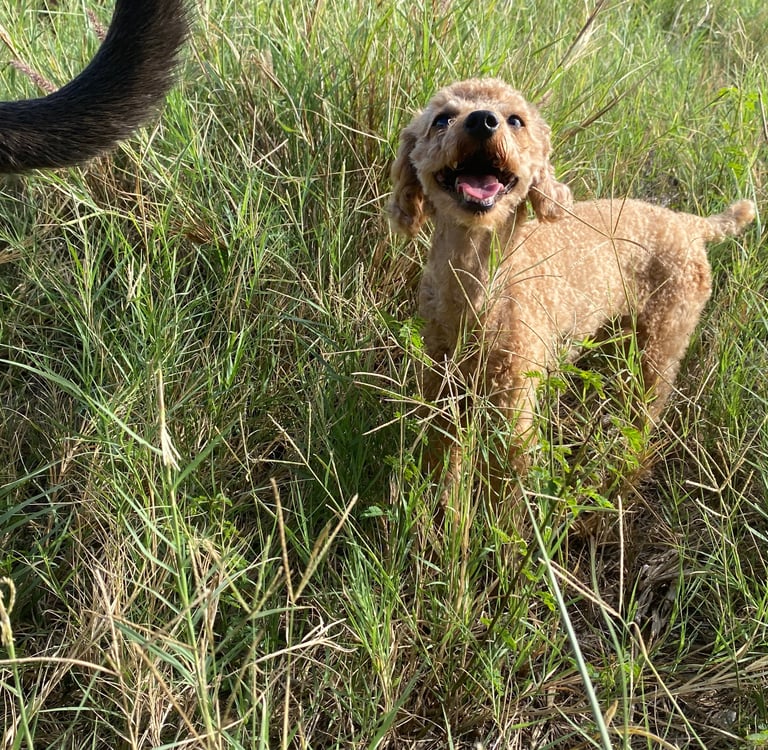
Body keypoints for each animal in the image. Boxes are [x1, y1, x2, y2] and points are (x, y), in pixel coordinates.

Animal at [388, 78, 755, 483]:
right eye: (441, 119)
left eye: (515, 120)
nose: (483, 120)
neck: (480, 285)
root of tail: (689, 223)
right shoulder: (442, 382)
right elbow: (441, 459)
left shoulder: (514, 397)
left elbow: (505, 478)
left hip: (662, 346)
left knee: (646, 417)